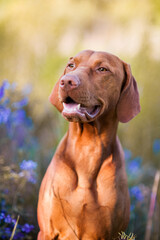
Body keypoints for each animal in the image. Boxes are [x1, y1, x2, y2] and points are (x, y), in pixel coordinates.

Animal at [37, 49, 140, 239]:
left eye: (102, 69)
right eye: (71, 65)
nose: (67, 81)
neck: (87, 148)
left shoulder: (108, 233)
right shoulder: (47, 231)